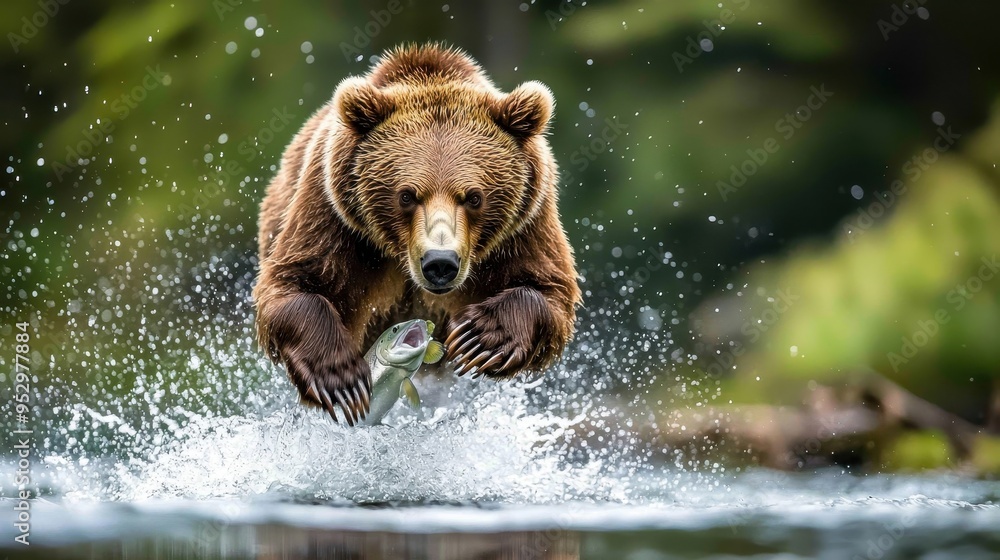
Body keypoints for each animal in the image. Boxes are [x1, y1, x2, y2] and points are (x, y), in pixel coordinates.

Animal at [253, 43, 580, 425]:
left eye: (474, 196)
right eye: (407, 195)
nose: (440, 263)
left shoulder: (526, 221)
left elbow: (547, 289)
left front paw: (480, 337)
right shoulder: (334, 213)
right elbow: (298, 280)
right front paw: (338, 376)